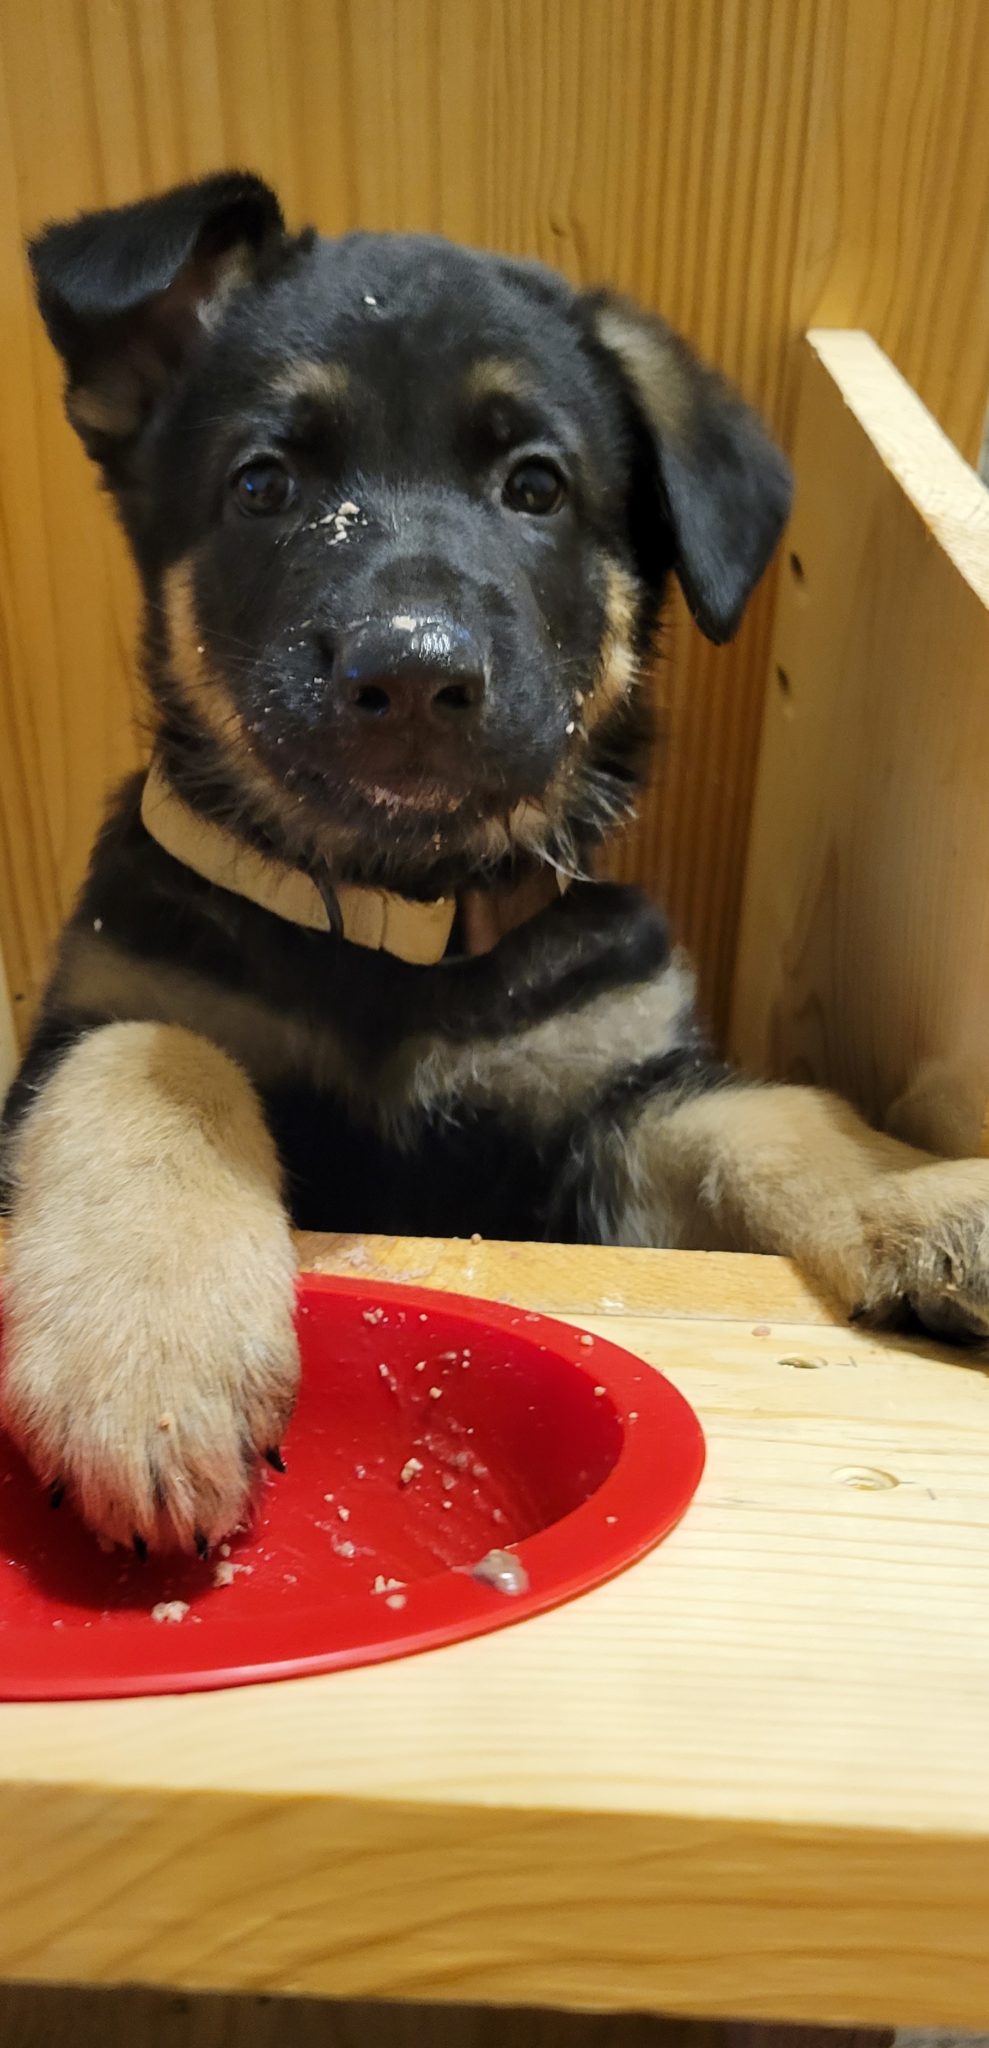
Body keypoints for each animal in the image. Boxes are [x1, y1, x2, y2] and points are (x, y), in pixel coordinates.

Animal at [3, 172, 986, 1548]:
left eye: (536, 488)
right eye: (263, 484)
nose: (414, 672)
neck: (389, 918)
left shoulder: (606, 1121)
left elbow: (779, 1112)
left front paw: (932, 1192)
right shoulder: (88, 1023)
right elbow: (154, 1058)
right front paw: (145, 1354)